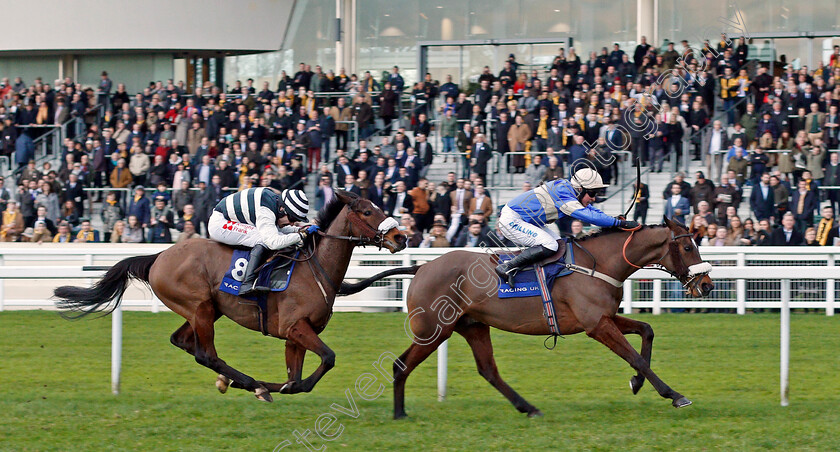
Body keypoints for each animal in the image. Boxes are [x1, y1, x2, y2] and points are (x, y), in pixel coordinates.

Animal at [53, 189, 406, 400]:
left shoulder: (295, 336)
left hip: (205, 310)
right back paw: (247, 382)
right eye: (367, 211)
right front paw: (265, 387)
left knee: (183, 342)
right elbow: (326, 361)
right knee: (205, 354)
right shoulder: (296, 327)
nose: (400, 237)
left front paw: (278, 386)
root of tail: (159, 257)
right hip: (200, 308)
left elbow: (295, 378)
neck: (314, 268)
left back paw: (236, 380)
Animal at [338, 217, 712, 418]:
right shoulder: (596, 325)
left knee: (488, 370)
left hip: (473, 326)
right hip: (434, 330)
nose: (707, 284)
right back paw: (399, 412)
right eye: (688, 247)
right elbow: (635, 356)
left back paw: (528, 407)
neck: (598, 263)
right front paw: (673, 394)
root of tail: (423, 266)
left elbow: (647, 331)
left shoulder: (602, 317)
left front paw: (636, 382)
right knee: (400, 365)